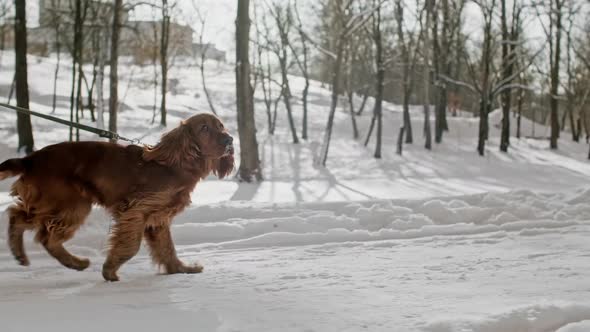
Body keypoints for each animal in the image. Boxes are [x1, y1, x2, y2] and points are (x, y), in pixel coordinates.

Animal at [0, 113, 236, 280]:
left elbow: (167, 248)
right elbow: (131, 246)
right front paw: (110, 270)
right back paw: (73, 262)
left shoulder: (157, 219)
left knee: (24, 220)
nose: (230, 140)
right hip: (69, 205)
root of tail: (31, 159)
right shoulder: (136, 211)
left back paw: (34, 257)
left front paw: (180, 269)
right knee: (36, 229)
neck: (176, 164)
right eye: (204, 128)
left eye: (221, 126)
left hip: (61, 204)